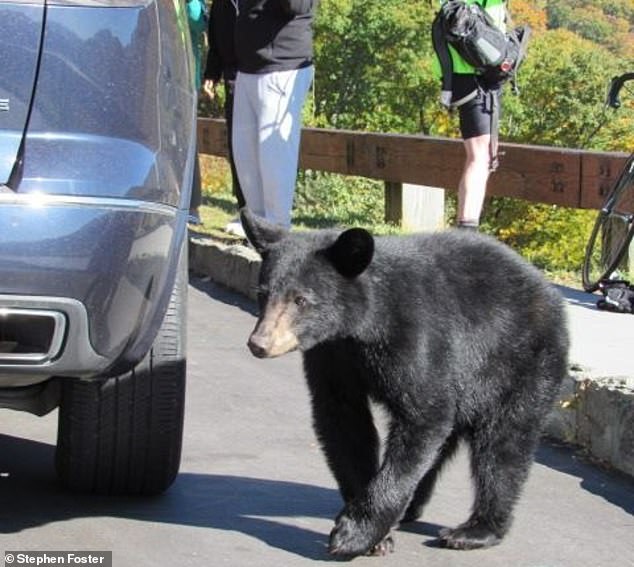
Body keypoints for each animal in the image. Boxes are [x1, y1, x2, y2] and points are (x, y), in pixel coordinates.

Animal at [239, 210, 564, 560]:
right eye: (263, 293)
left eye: (301, 299)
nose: (259, 344)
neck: (363, 326)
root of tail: (550, 294)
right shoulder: (333, 356)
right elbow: (343, 421)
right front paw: (374, 535)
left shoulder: (417, 339)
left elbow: (423, 416)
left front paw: (353, 534)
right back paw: (412, 508)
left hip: (519, 365)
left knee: (503, 448)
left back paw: (476, 530)